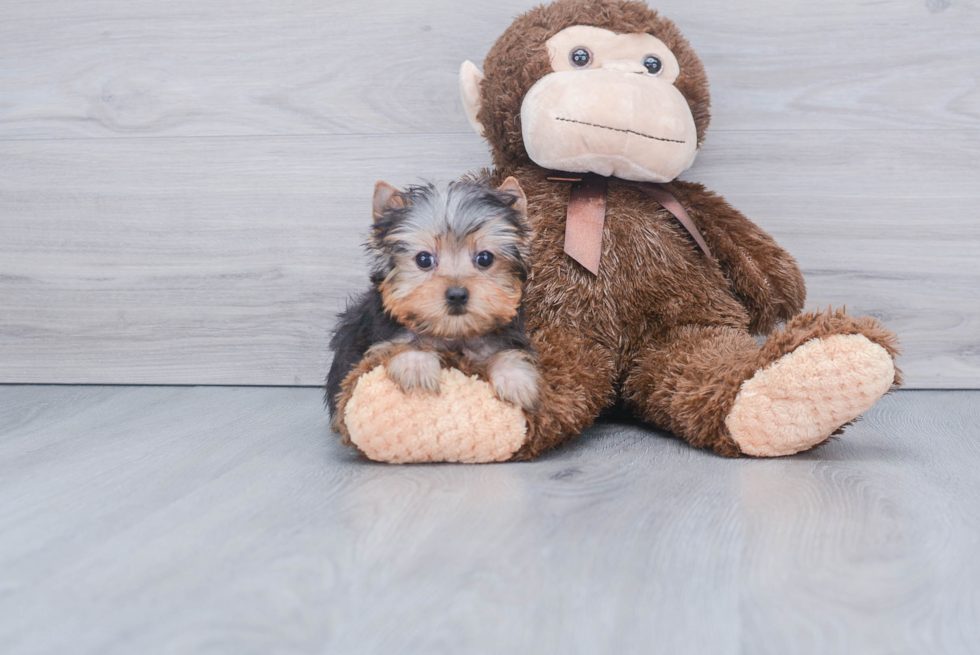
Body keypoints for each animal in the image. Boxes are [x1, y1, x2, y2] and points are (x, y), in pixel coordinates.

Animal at [326, 176, 540, 420]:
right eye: (424, 259)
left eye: (485, 258)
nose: (457, 295)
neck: (452, 334)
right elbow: (404, 343)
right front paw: (417, 366)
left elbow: (505, 351)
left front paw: (515, 379)